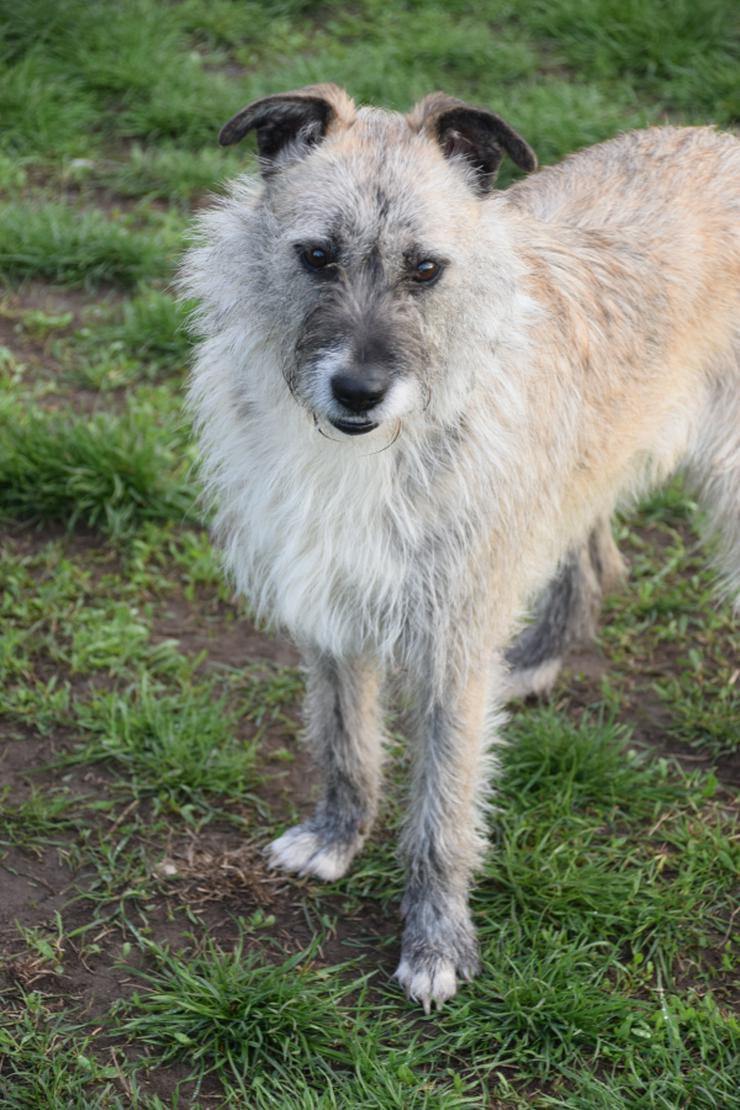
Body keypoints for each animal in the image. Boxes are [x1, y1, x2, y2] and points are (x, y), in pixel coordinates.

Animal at [180, 82, 740, 1012]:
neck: (373, 449)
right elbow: (346, 744)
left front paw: (437, 943)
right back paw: (536, 661)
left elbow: (442, 813)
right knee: (594, 559)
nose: (359, 391)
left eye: (426, 269)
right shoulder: (334, 607)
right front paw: (336, 838)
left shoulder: (451, 642)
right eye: (317, 255)